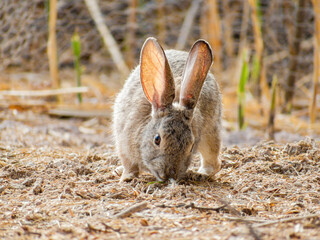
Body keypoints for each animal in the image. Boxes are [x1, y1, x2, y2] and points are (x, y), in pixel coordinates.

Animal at [114, 36, 221, 181]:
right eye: (157, 139)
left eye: (191, 146)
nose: (169, 174)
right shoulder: (124, 145)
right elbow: (130, 166)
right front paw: (127, 178)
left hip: (211, 133)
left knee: (213, 163)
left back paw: (200, 174)